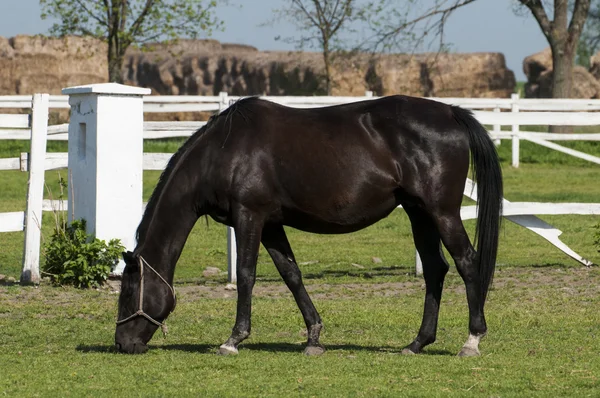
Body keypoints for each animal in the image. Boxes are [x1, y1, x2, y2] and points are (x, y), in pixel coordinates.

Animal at [112, 95, 502, 356]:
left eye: (129, 291)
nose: (123, 343)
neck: (224, 151)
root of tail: (451, 112)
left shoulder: (249, 216)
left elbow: (246, 274)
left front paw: (233, 339)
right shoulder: (271, 224)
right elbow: (291, 274)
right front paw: (314, 337)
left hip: (442, 212)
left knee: (467, 262)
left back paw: (472, 340)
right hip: (419, 212)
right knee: (436, 269)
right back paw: (417, 342)